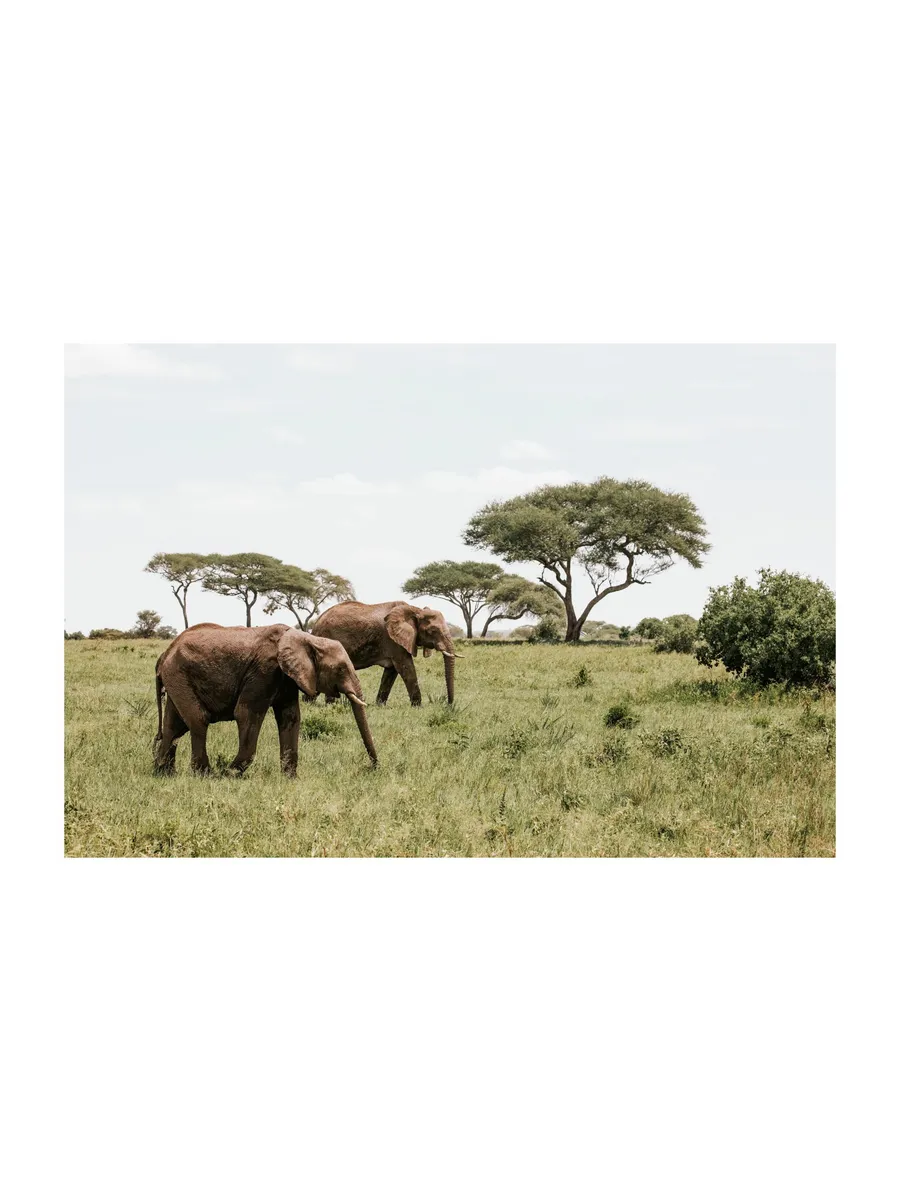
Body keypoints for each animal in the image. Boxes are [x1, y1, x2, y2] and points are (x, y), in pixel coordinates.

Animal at [153, 623, 377, 776]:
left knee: (174, 725)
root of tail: (165, 653)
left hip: (178, 678)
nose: (372, 768)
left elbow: (290, 717)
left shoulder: (287, 677)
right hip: (178, 674)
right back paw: (205, 774)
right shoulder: (264, 671)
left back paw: (163, 774)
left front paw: (290, 779)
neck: (306, 638)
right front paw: (229, 774)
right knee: (198, 719)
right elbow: (247, 714)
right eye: (340, 669)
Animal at [313, 601, 462, 707]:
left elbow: (391, 672)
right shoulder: (393, 641)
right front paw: (418, 707)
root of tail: (316, 623)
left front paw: (380, 705)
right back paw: (327, 705)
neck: (415, 610)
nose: (448, 705)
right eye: (433, 631)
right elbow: (406, 668)